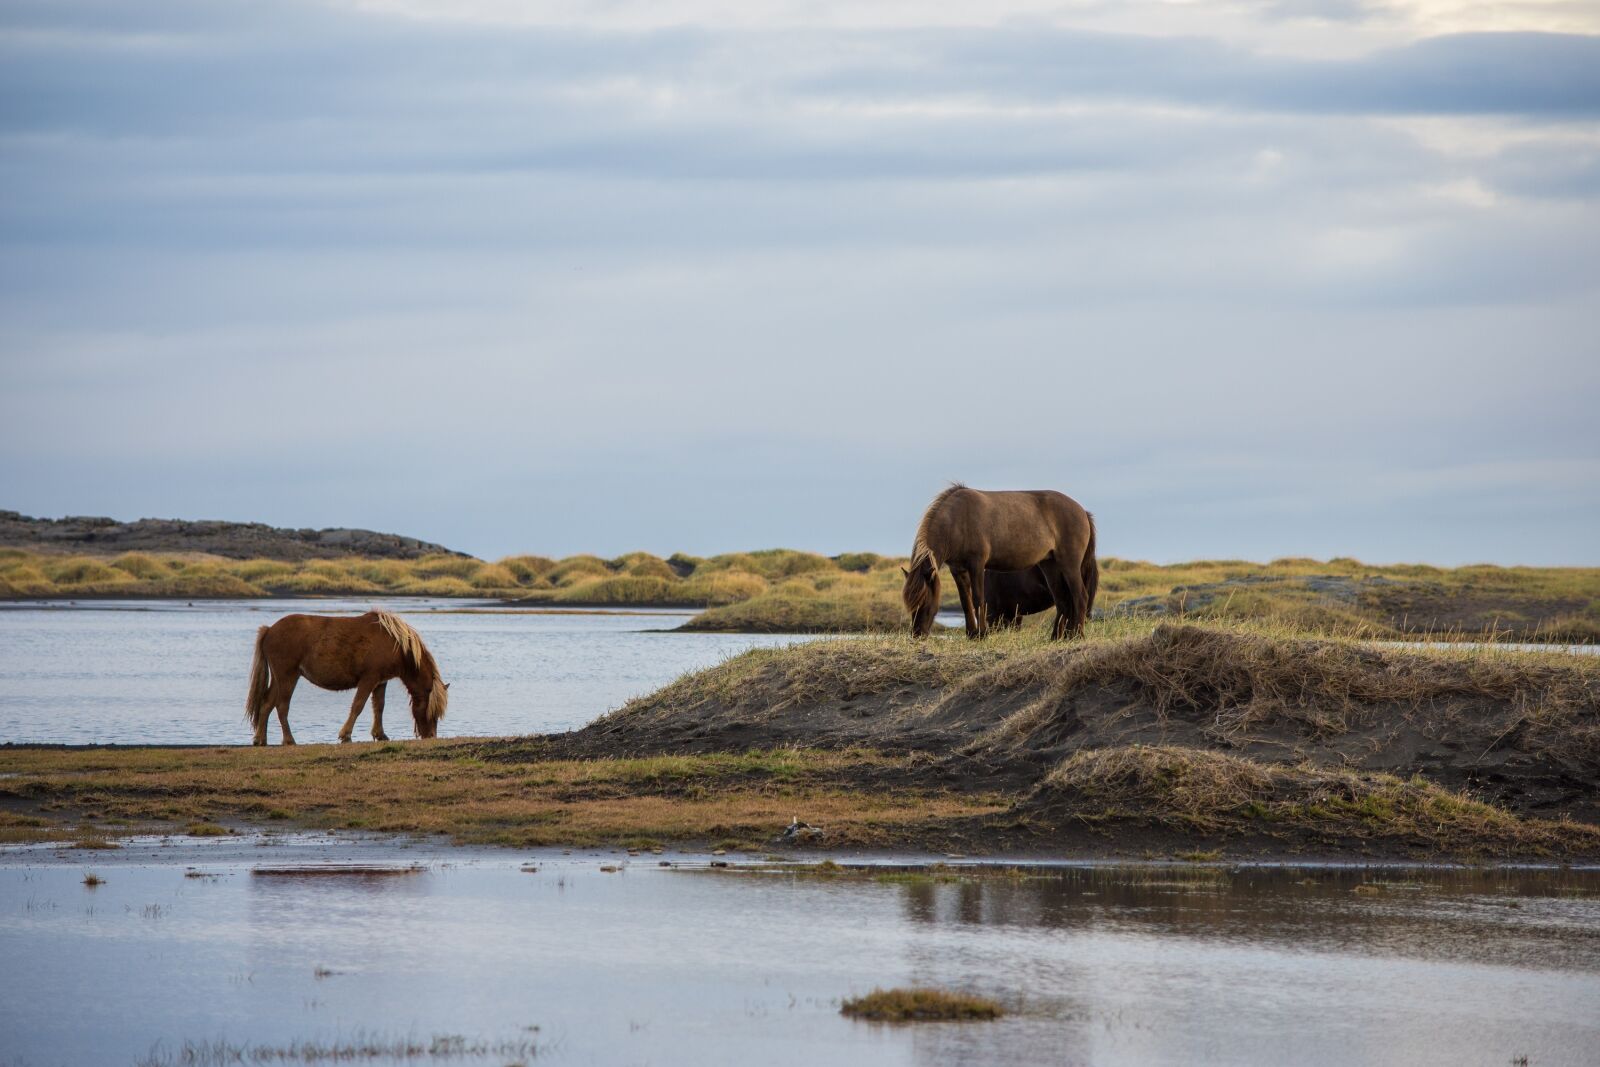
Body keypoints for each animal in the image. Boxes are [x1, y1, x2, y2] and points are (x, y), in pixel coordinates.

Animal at [244, 610, 448, 745]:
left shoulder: (380, 682)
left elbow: (379, 707)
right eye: (432, 711)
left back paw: (260, 739)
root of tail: (269, 630)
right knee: (281, 706)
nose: (431, 736)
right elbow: (358, 706)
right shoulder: (368, 679)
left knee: (266, 704)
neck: (395, 644)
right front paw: (346, 734)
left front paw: (380, 734)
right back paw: (289, 740)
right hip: (288, 677)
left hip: (279, 679)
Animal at [902, 485, 1097, 640]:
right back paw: (1056, 637)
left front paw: (981, 634)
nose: (917, 634)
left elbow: (978, 599)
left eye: (923, 600)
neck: (958, 520)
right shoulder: (958, 570)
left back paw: (1076, 635)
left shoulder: (977, 565)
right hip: (1050, 566)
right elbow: (965, 602)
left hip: (1069, 565)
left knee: (1080, 597)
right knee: (1063, 600)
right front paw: (971, 634)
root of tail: (1083, 512)